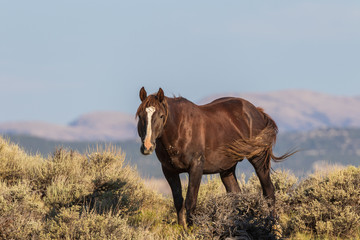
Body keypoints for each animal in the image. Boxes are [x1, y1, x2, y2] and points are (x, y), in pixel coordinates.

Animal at [136, 86, 294, 227]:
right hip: (227, 169)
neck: (180, 130)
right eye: (141, 116)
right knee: (236, 195)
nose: (147, 146)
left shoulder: (196, 168)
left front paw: (192, 231)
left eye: (161, 116)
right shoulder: (169, 171)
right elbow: (178, 202)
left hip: (259, 160)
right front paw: (182, 230)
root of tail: (257, 111)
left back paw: (273, 225)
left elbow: (190, 202)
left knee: (269, 193)